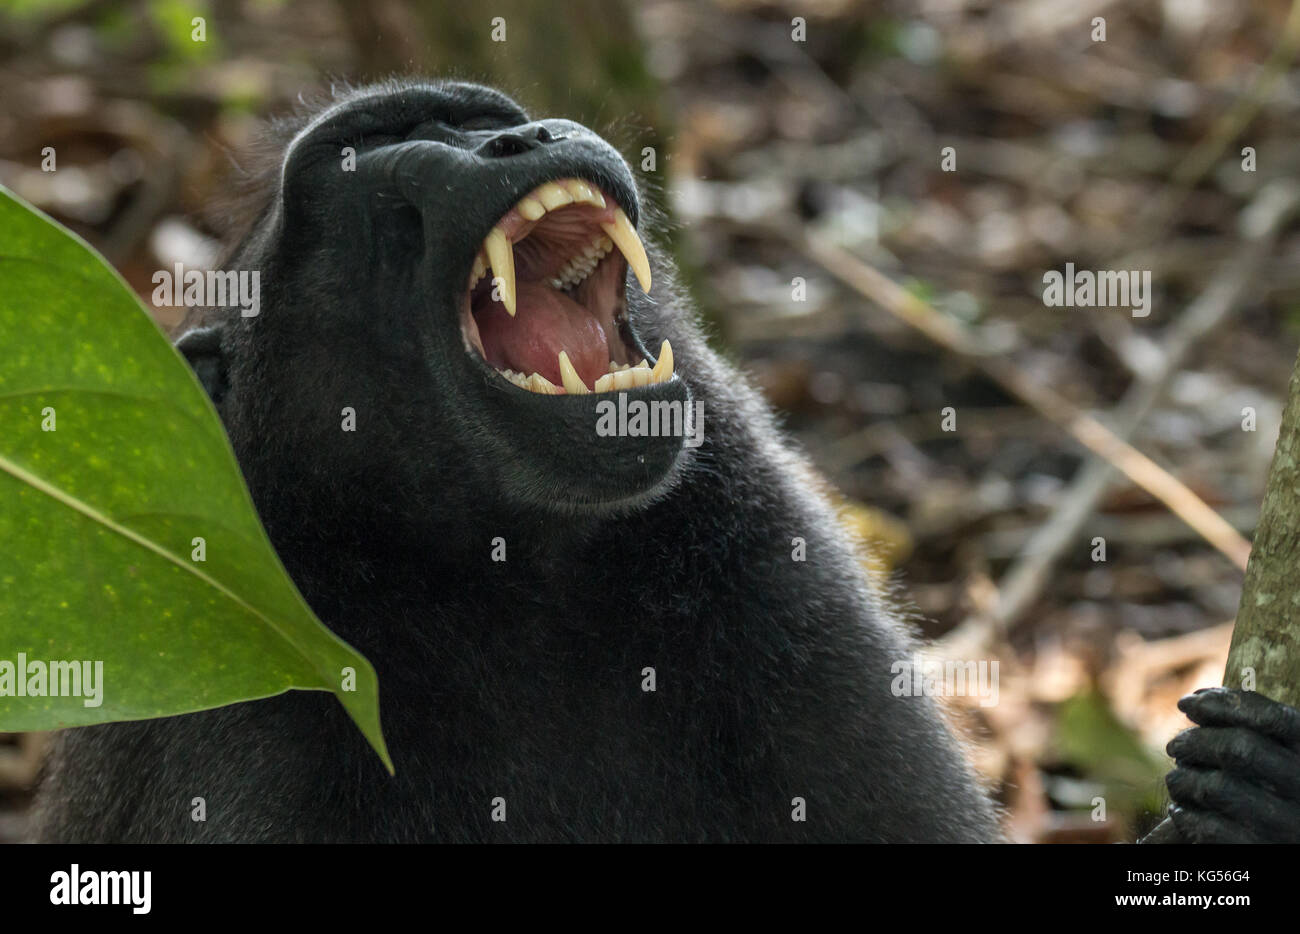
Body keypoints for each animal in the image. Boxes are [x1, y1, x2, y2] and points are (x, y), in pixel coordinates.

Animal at [28, 80, 1300, 843]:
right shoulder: (256, 702)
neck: (499, 577)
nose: (520, 137)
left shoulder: (768, 559)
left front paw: (1262, 800)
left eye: (482, 114)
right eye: (374, 147)